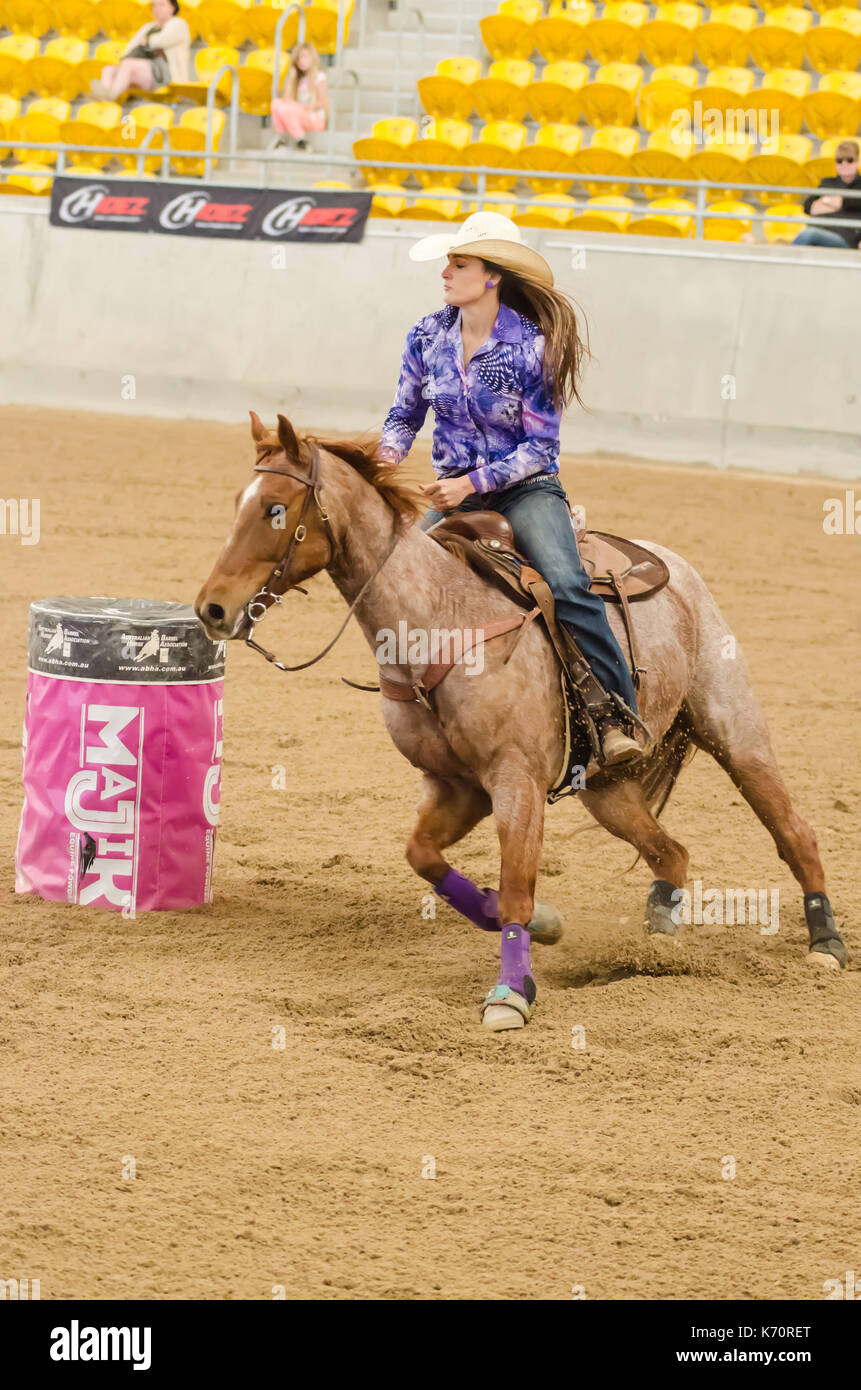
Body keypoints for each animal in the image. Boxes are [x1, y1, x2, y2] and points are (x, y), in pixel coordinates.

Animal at [193, 411, 851, 1034]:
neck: (438, 624)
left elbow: (513, 892)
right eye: (238, 503)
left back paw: (825, 943)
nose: (212, 608)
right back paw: (658, 943)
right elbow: (426, 857)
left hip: (735, 733)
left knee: (794, 833)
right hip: (606, 790)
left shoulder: (516, 781)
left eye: (276, 509)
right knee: (671, 853)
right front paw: (546, 923)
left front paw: (510, 994)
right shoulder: (456, 786)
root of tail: (674, 566)